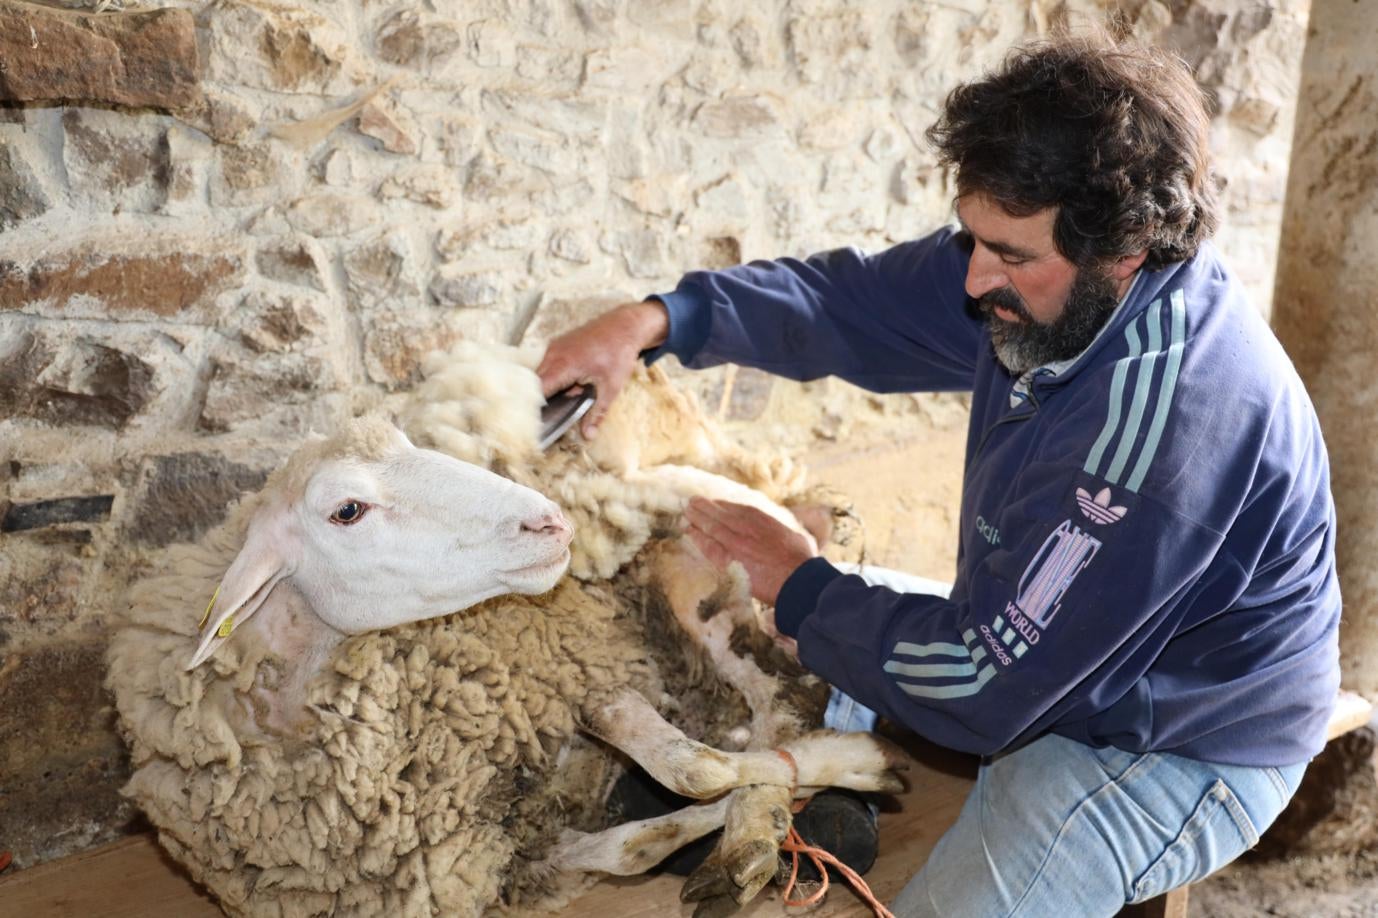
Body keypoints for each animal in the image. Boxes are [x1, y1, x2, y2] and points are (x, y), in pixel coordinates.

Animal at [107, 344, 903, 915]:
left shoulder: (581, 670)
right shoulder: (501, 862)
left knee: (776, 703)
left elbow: (693, 769)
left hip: (699, 548)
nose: (549, 520)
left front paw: (846, 763)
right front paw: (751, 804)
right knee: (763, 708)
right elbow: (639, 843)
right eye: (347, 510)